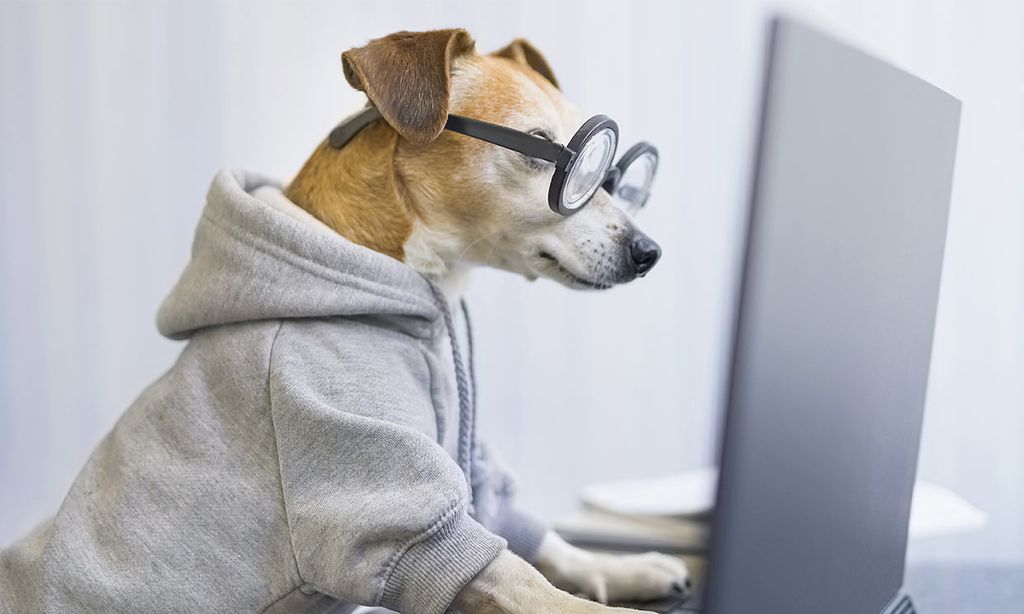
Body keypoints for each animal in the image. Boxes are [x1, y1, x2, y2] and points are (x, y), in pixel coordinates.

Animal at [2, 25, 688, 614]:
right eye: (548, 153)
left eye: (618, 172)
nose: (649, 252)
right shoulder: (387, 499)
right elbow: (529, 583)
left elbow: (543, 544)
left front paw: (624, 567)